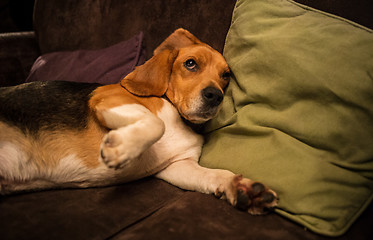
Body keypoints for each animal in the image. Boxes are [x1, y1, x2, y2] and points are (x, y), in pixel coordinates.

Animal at [0, 29, 276, 215]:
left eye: (225, 75)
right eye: (190, 64)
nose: (215, 96)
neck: (176, 114)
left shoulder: (179, 165)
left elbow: (212, 174)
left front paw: (241, 188)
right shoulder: (107, 99)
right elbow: (156, 124)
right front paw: (121, 148)